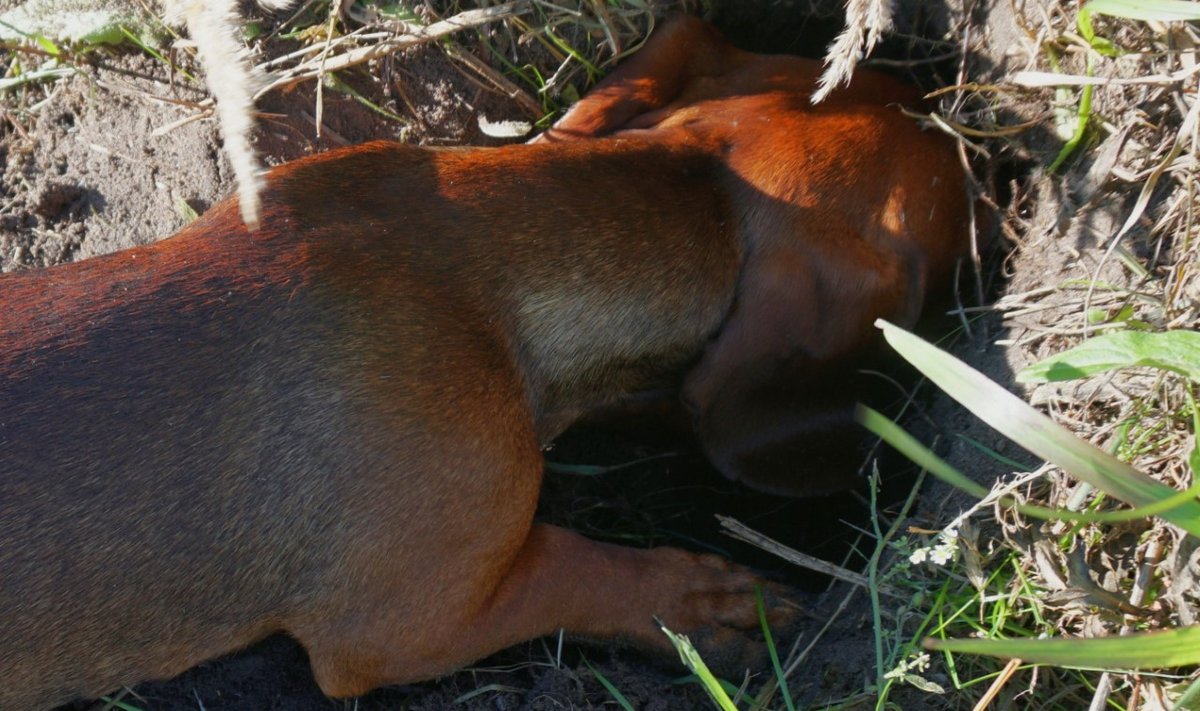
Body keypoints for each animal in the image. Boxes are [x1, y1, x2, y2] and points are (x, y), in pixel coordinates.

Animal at [0, 13, 969, 706]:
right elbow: (581, 562)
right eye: (961, 197)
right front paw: (712, 602)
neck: (463, 263)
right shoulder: (404, 623)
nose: (946, 100)